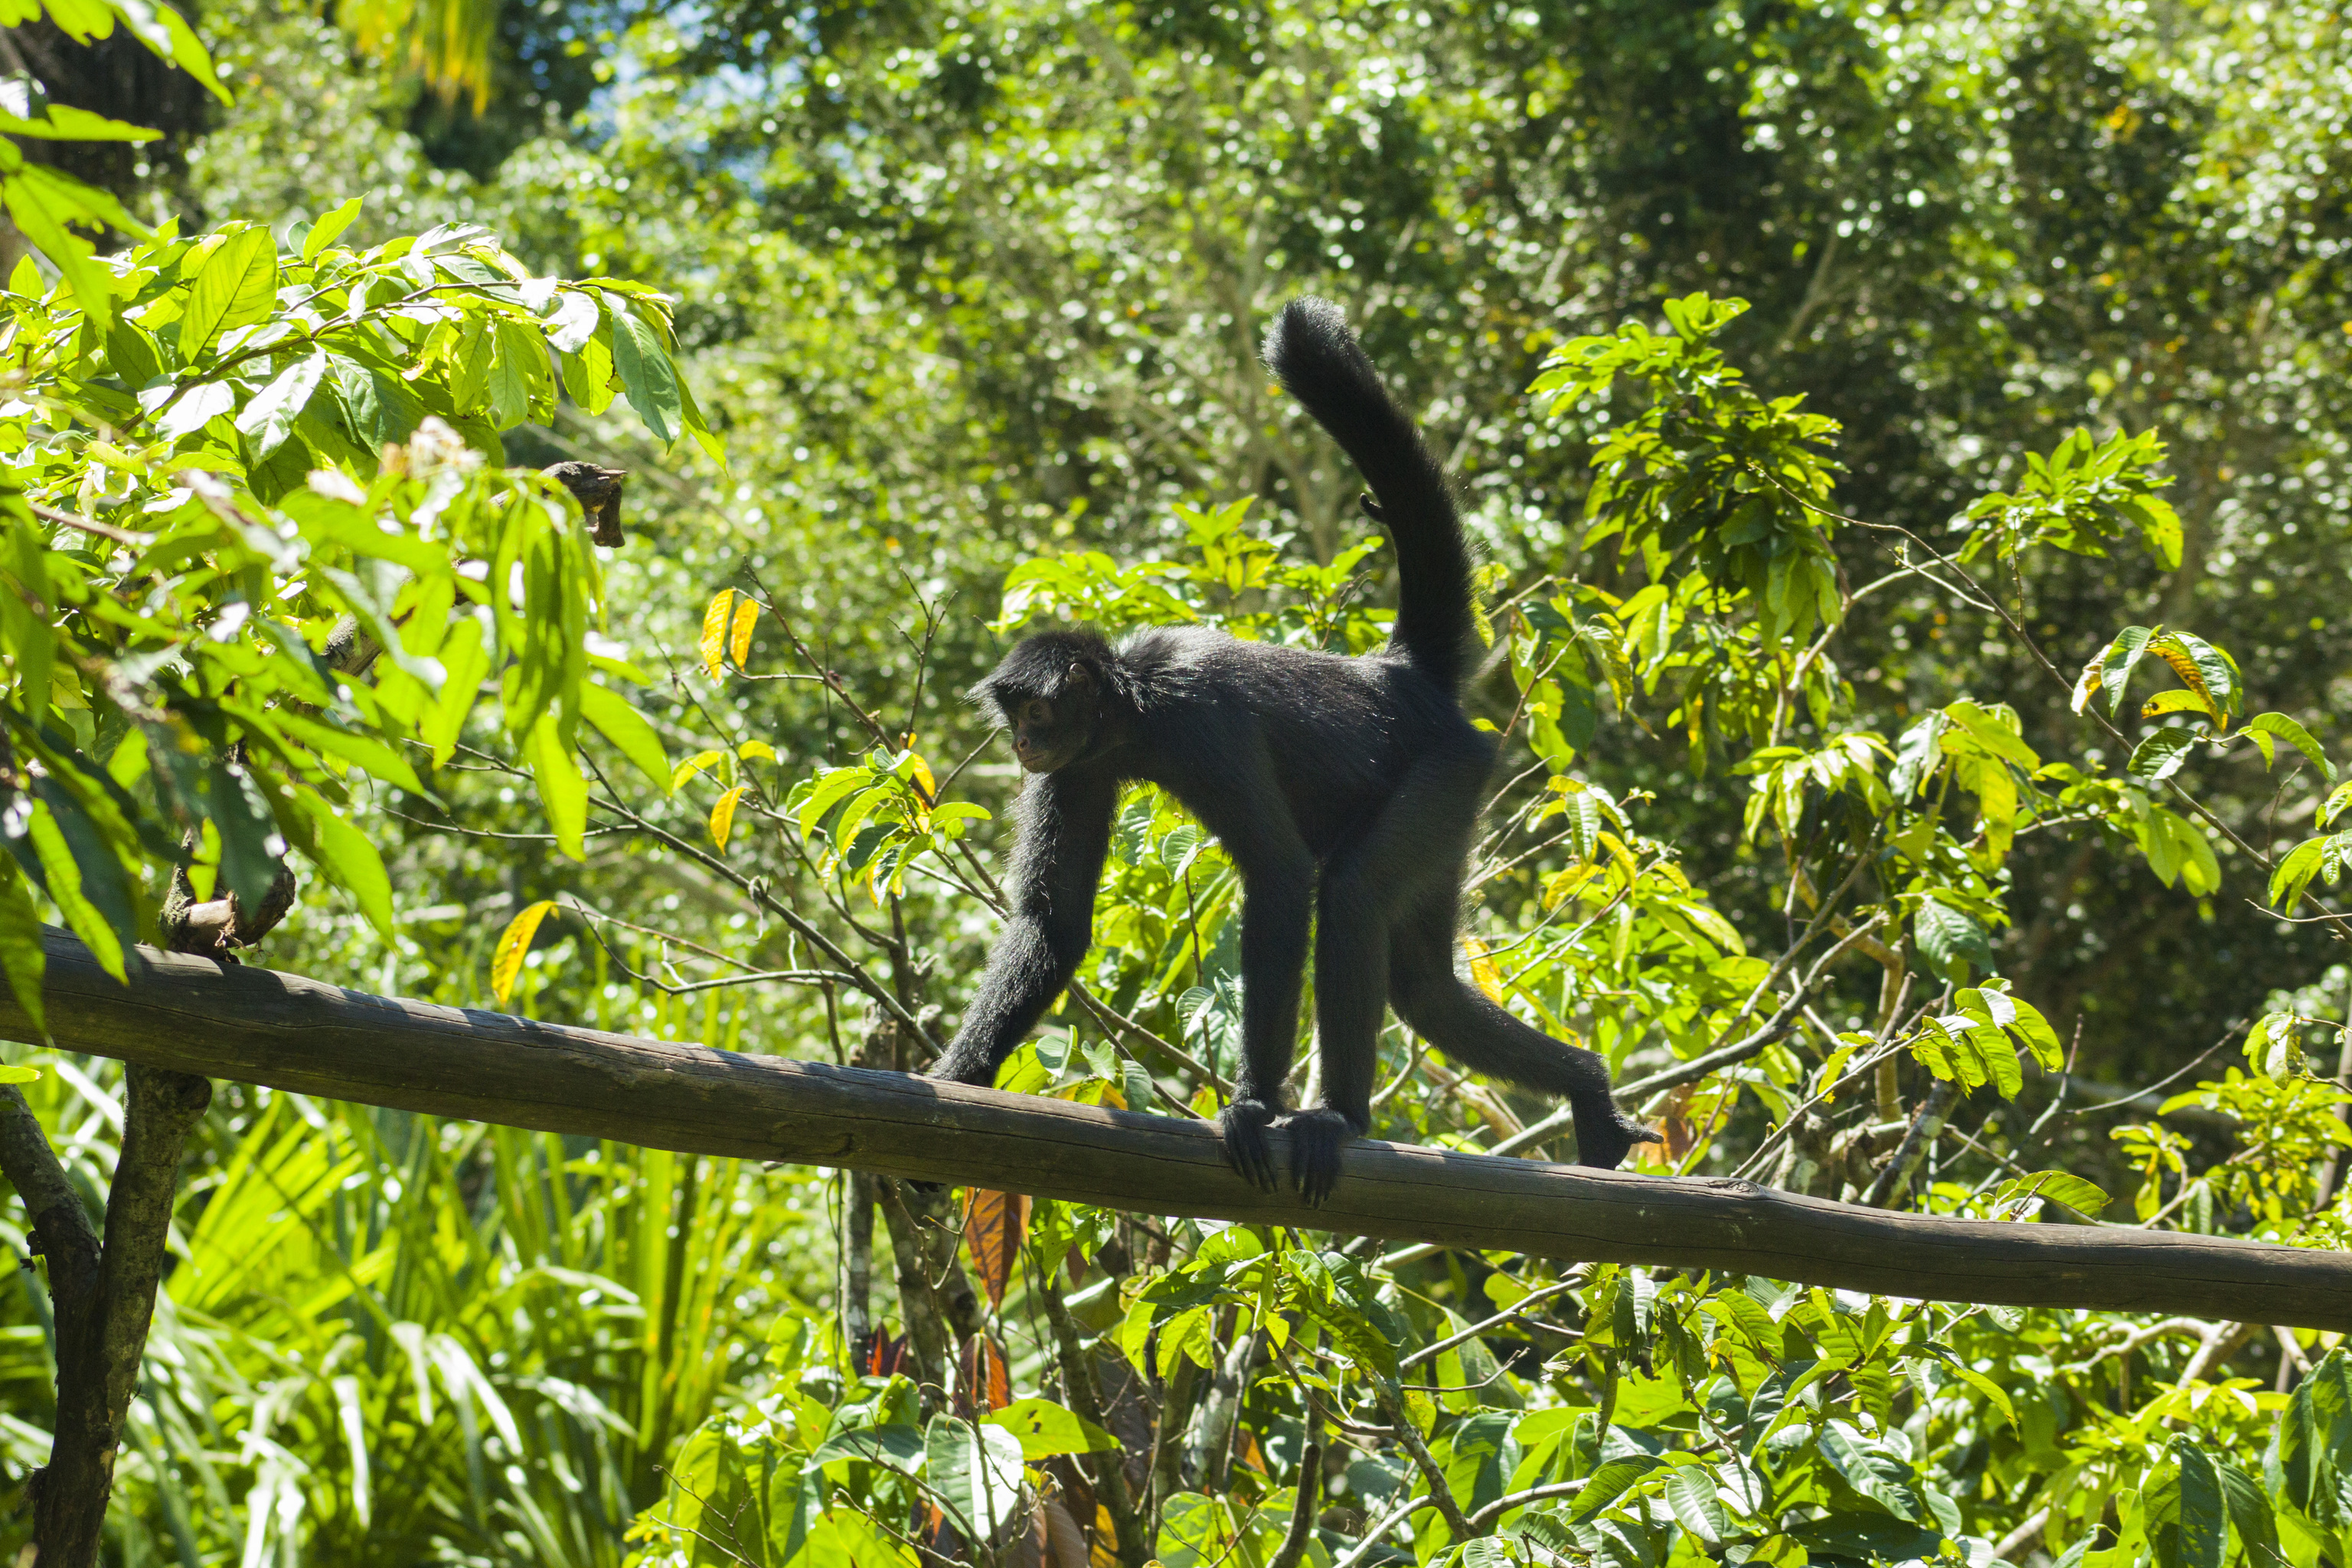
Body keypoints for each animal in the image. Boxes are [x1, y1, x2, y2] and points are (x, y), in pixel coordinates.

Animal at [928, 298, 1658, 1203]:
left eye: (1035, 709)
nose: (1023, 740)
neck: (1136, 704)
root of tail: (1395, 675)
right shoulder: (1080, 766)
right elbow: (1054, 923)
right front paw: (954, 1081)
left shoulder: (1202, 724)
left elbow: (1279, 874)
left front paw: (1251, 1105)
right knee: (1424, 987)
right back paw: (1588, 1087)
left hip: (1445, 772)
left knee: (1350, 894)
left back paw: (1338, 1117)